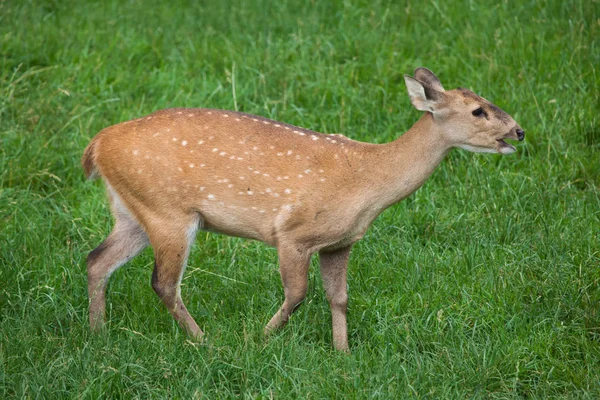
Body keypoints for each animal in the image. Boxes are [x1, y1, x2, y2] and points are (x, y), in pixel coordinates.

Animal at [82, 68, 524, 350]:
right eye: (478, 110)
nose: (519, 131)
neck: (368, 180)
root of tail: (98, 144)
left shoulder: (340, 242)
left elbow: (339, 297)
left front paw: (342, 353)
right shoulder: (293, 234)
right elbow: (297, 294)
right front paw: (259, 339)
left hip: (134, 211)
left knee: (96, 260)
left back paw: (99, 335)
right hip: (170, 213)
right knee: (163, 283)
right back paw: (203, 340)